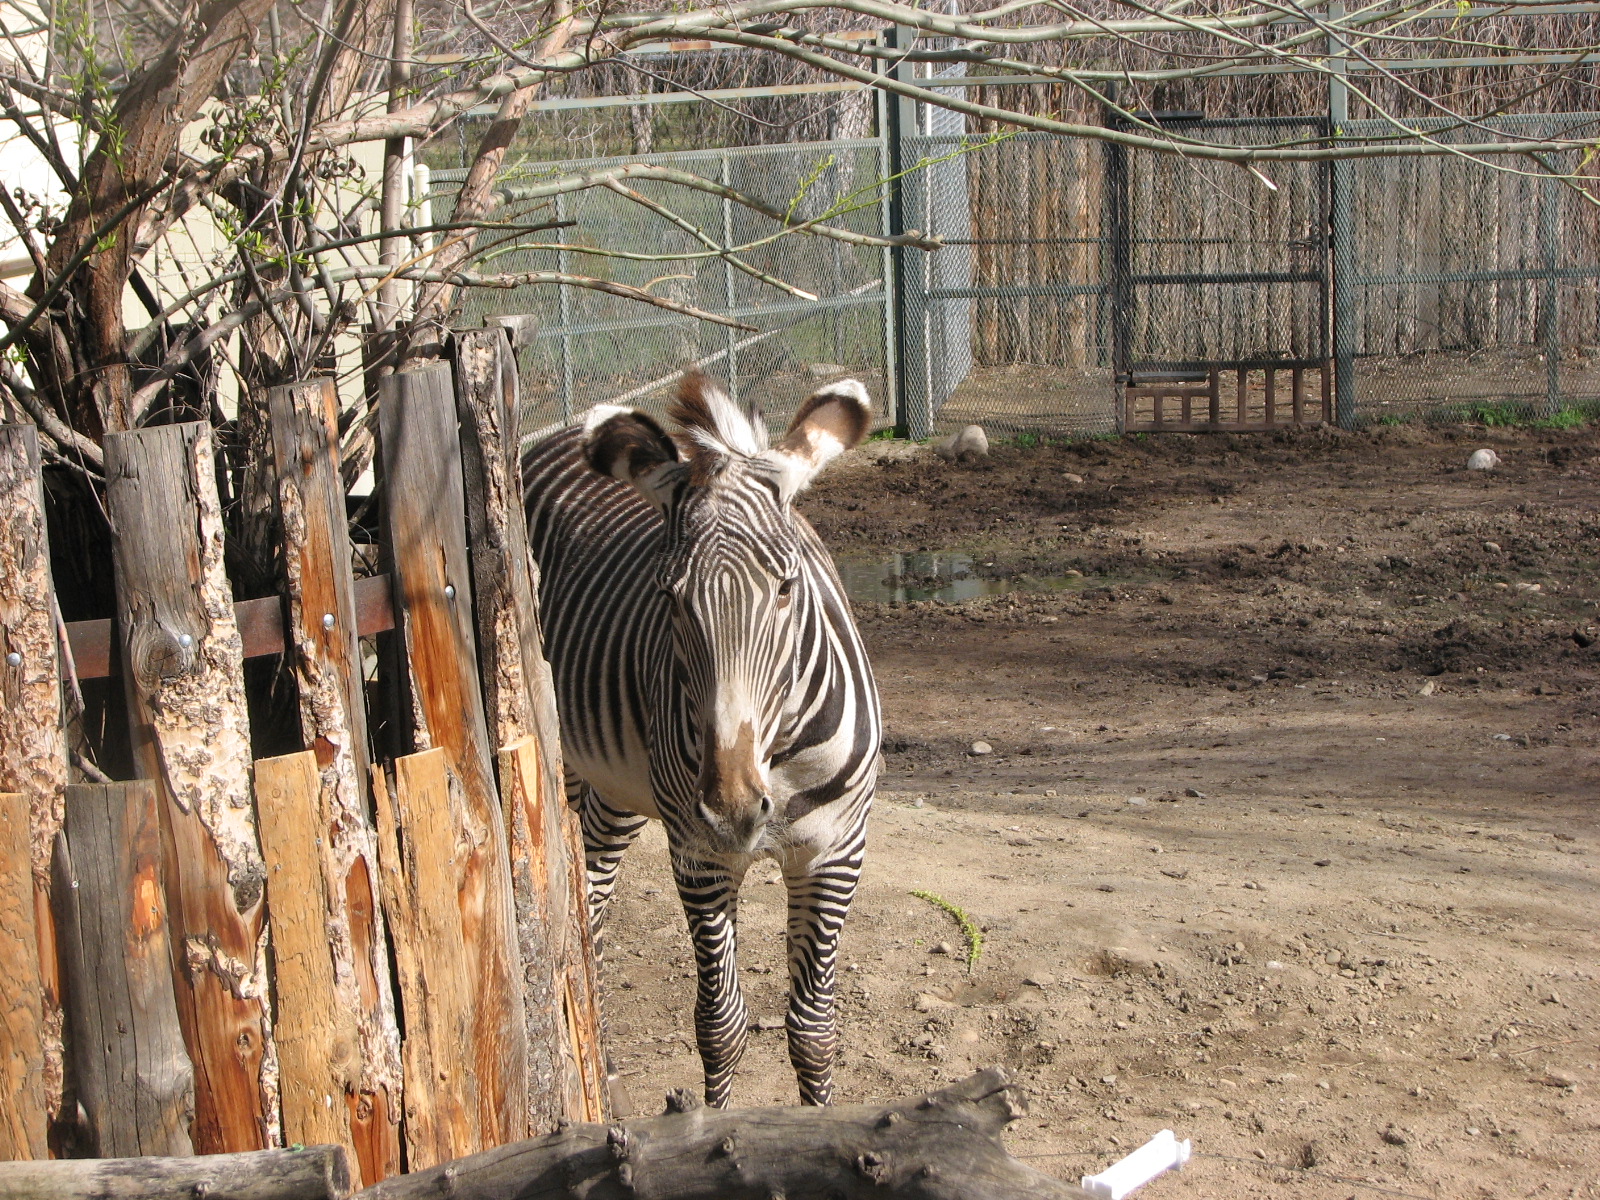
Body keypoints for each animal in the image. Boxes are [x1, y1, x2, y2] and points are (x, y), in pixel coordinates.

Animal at [522, 372, 882, 1109]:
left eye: (787, 588)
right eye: (668, 596)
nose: (735, 809)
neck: (773, 758)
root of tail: (559, 432)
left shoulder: (835, 853)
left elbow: (813, 1029)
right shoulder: (700, 857)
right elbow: (721, 1023)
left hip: (619, 790)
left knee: (596, 888)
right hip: (567, 760)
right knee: (580, 901)